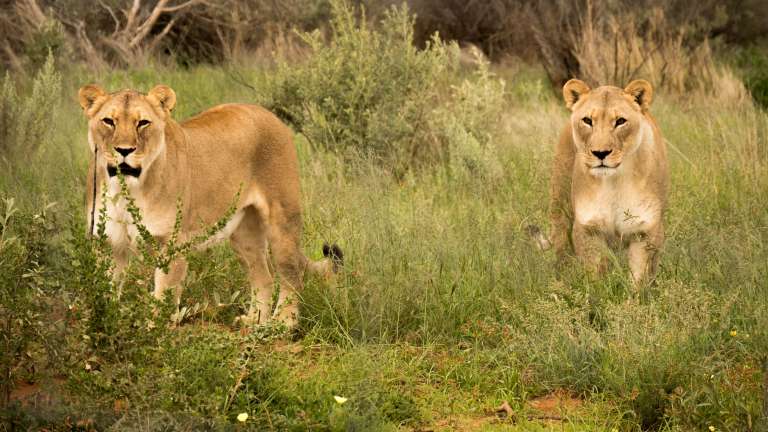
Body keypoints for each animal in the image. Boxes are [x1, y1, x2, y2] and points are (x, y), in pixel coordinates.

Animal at [78, 84, 342, 327]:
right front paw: (103, 328)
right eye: (108, 121)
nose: (124, 150)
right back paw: (254, 322)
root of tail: (269, 114)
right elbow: (104, 291)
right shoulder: (108, 242)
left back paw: (284, 324)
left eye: (143, 122)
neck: (125, 188)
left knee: (291, 274)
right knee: (263, 276)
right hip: (244, 232)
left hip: (282, 219)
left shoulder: (172, 244)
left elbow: (163, 298)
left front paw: (153, 335)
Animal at [529, 79, 668, 283]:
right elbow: (594, 273)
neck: (614, 183)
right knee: (562, 251)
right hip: (560, 205)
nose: (600, 153)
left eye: (620, 121)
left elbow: (639, 276)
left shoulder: (645, 230)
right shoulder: (588, 228)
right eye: (587, 120)